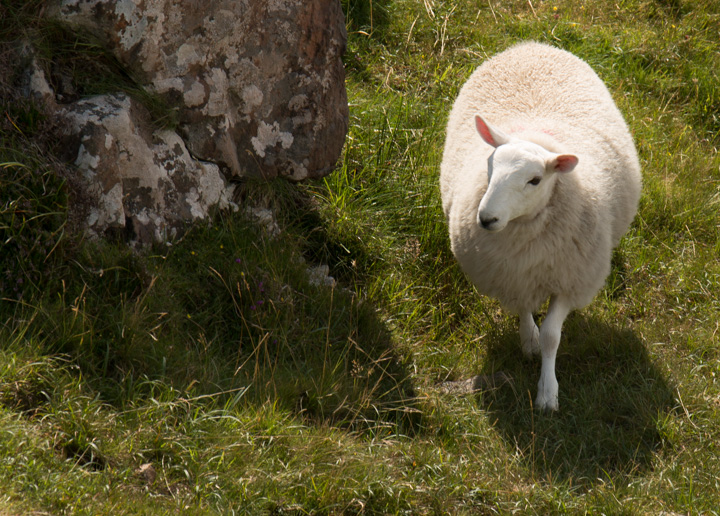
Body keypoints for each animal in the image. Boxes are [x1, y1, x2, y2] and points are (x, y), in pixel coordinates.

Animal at [438, 41, 640, 412]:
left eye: (534, 180)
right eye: (490, 164)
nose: (485, 218)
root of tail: (531, 44)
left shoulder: (571, 277)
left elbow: (552, 337)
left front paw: (548, 392)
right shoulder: (511, 272)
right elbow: (524, 309)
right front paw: (527, 338)